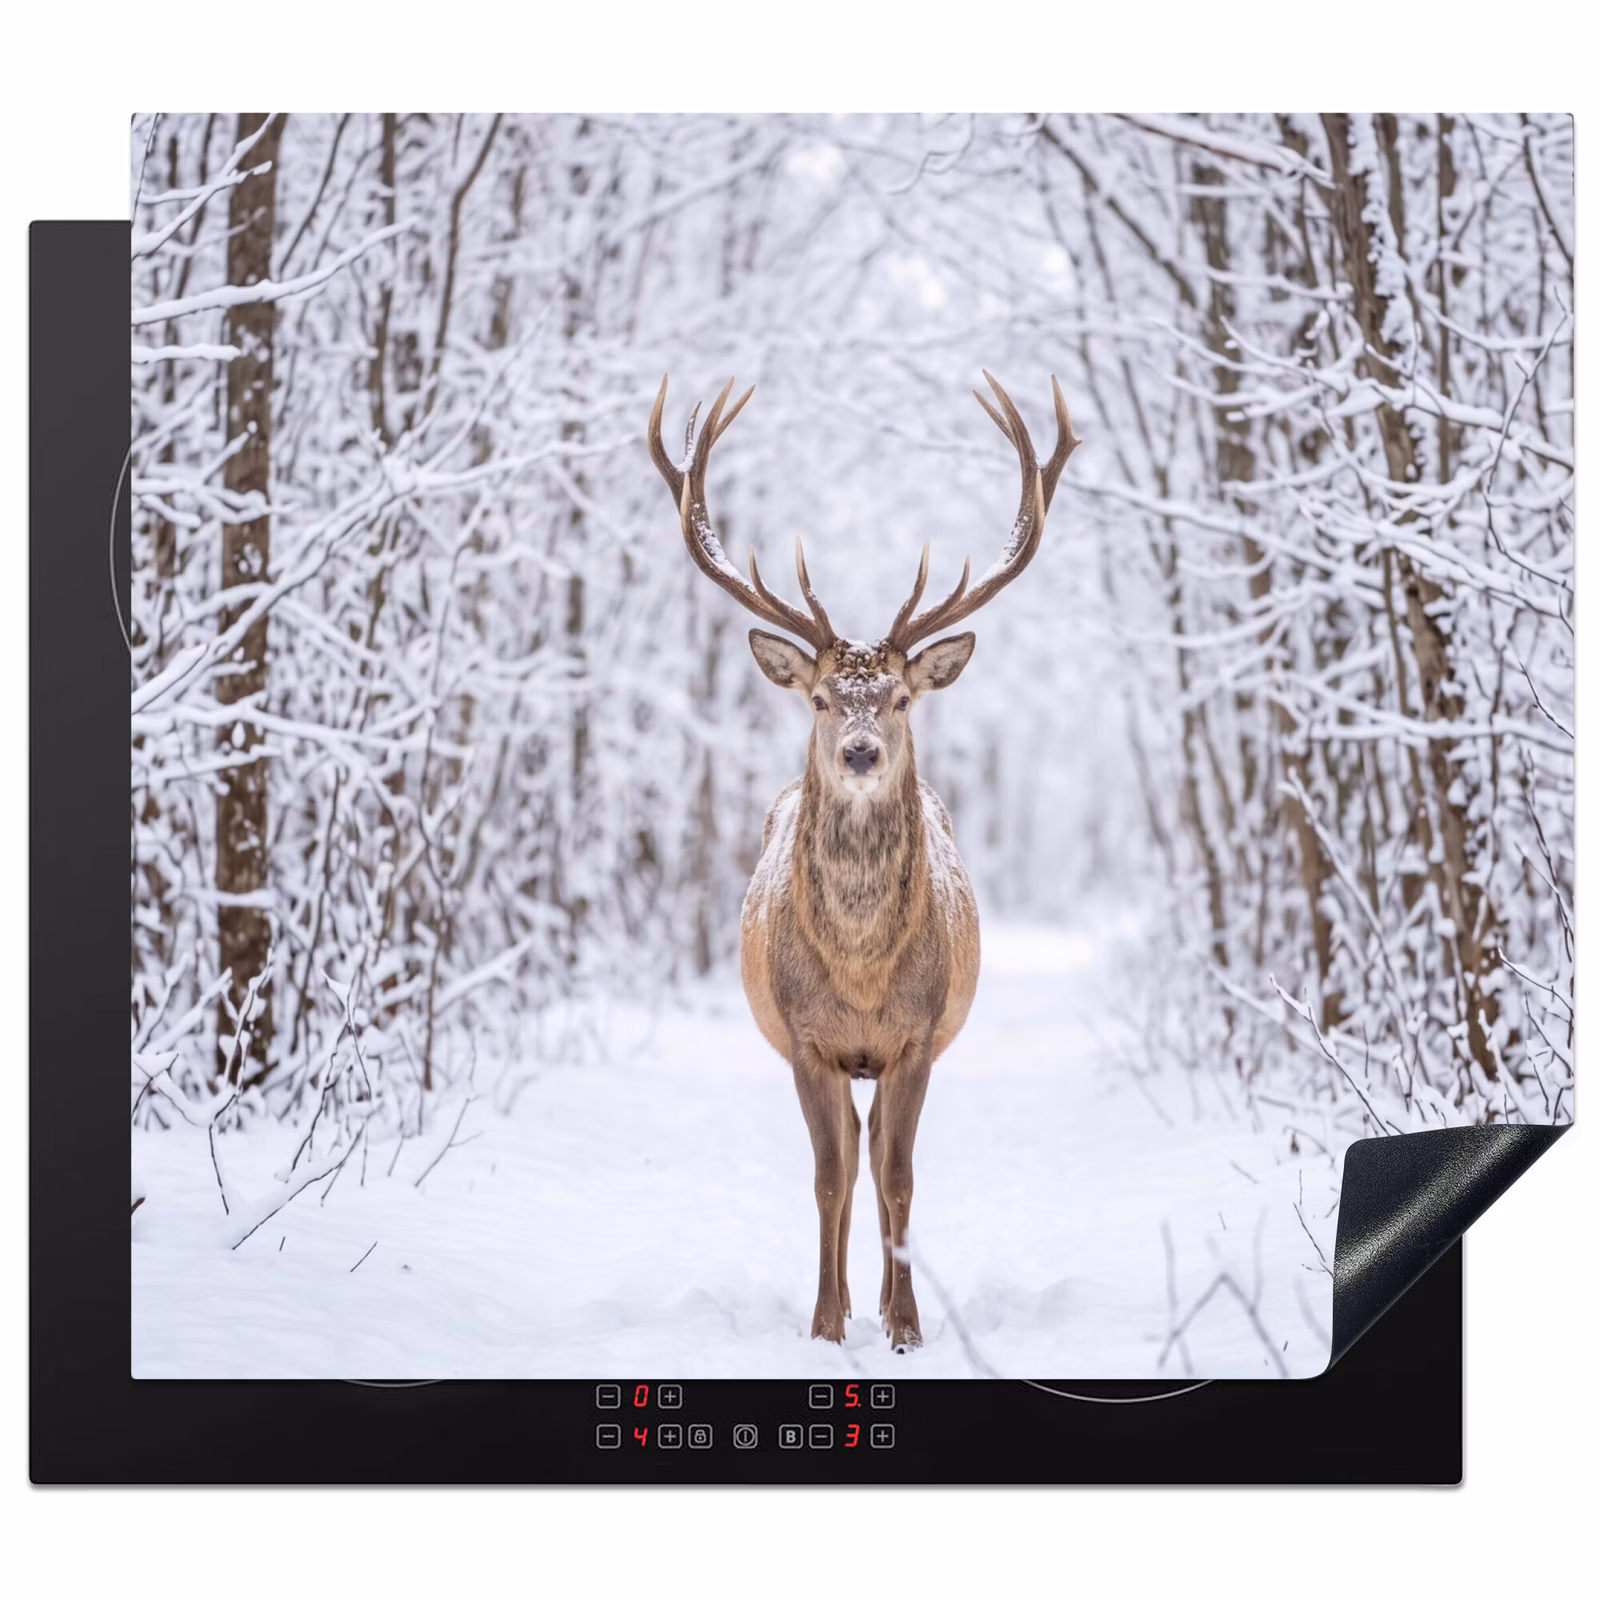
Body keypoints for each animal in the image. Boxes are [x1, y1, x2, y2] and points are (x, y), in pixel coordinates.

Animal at [646, 372, 1078, 1349]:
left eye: (901, 697)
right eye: (817, 697)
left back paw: (882, 1297)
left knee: (880, 1153)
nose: (858, 751)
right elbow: (830, 1177)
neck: (861, 974)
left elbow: (898, 1176)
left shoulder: (916, 1036)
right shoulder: (806, 1039)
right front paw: (823, 1324)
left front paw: (907, 1326)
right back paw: (847, 1299)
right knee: (848, 1155)